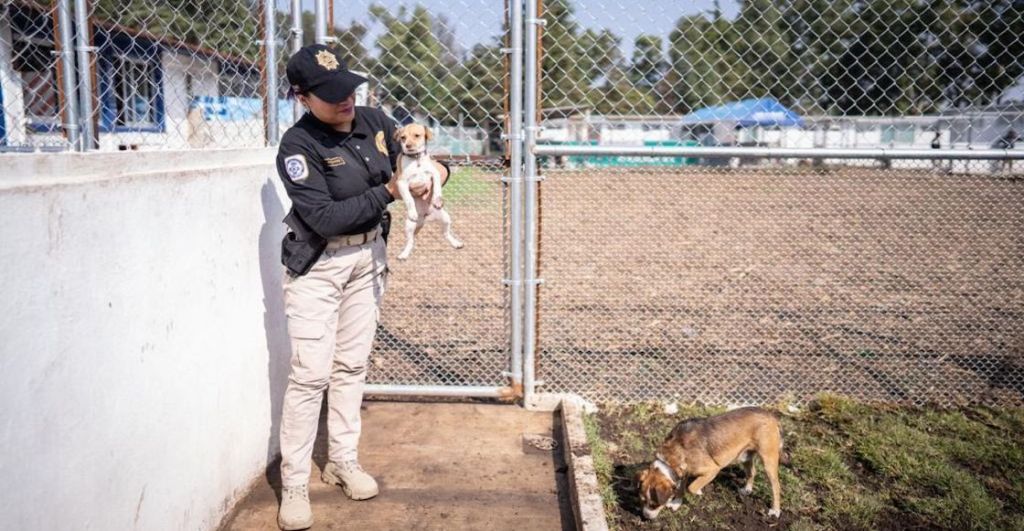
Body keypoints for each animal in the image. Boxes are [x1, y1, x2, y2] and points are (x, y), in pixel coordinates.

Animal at [395, 122, 464, 259]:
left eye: (417, 135)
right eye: (402, 138)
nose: (408, 146)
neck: (416, 160)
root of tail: (425, 218)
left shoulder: (434, 174)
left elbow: (437, 188)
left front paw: (437, 200)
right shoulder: (401, 182)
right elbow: (409, 199)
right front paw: (412, 212)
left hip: (445, 219)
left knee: (445, 234)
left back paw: (456, 243)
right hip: (409, 225)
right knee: (410, 241)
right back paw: (404, 254)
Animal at [638, 407, 782, 519]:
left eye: (654, 504)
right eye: (642, 500)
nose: (645, 516)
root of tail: (771, 415)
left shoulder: (713, 469)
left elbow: (691, 487)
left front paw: (698, 491)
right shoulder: (683, 471)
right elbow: (681, 487)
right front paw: (676, 502)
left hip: (768, 460)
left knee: (776, 485)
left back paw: (775, 510)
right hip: (745, 456)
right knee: (752, 471)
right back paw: (747, 489)